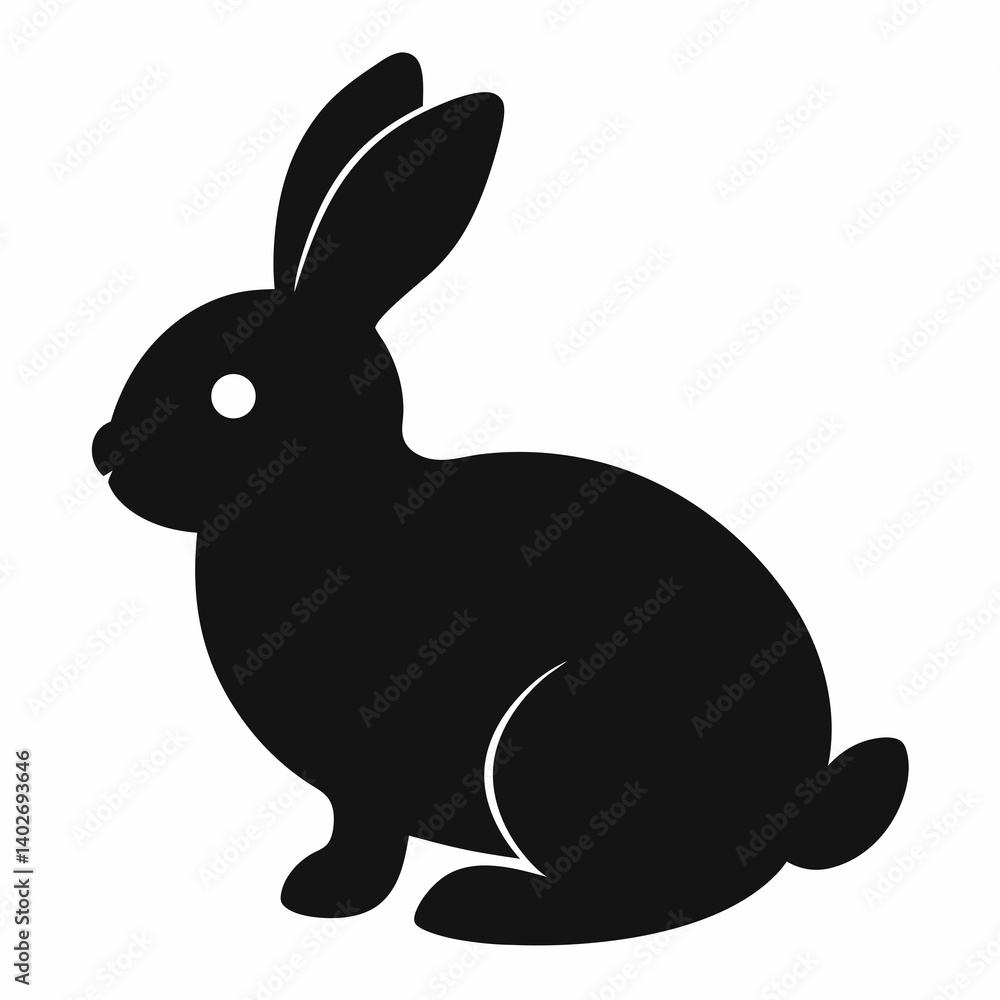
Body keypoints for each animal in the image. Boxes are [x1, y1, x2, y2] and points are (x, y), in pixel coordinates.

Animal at [92, 52, 908, 945]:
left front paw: (324, 894)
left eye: (231, 395)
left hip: (553, 740)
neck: (330, 497)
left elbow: (367, 833)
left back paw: (476, 906)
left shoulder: (370, 772)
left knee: (660, 890)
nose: (104, 454)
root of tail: (794, 806)